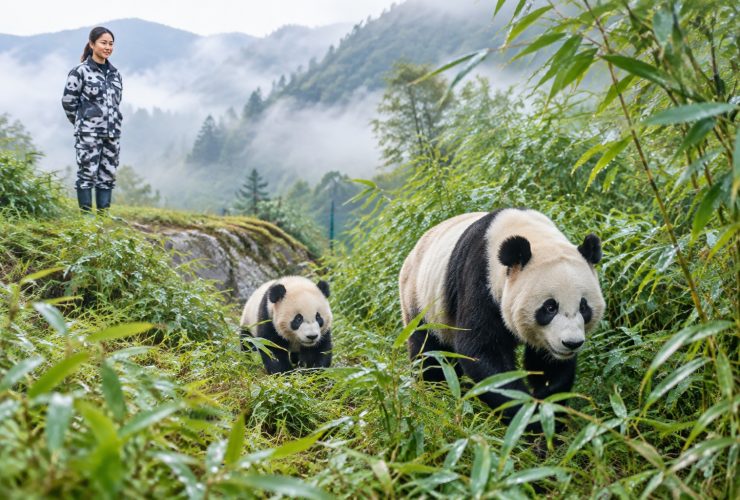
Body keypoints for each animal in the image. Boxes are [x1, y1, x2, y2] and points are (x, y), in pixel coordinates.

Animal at [399, 208, 605, 422]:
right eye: (550, 307)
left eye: (583, 307)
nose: (571, 343)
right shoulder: (480, 281)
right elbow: (482, 353)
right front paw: (526, 414)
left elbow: (548, 367)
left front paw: (548, 409)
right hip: (422, 305)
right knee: (431, 357)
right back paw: (438, 398)